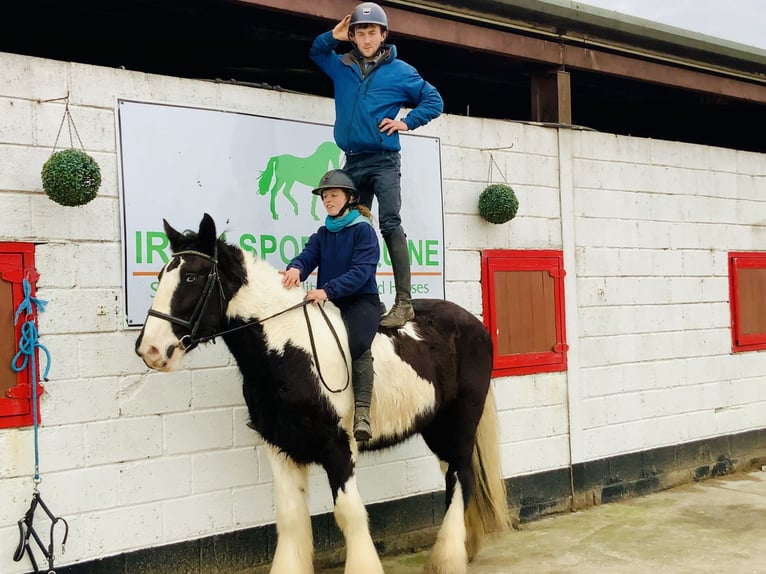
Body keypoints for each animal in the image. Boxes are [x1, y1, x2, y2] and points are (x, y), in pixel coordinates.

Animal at [135, 216, 512, 574]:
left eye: (191, 277)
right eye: (162, 274)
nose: (149, 349)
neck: (288, 347)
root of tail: (473, 323)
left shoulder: (338, 447)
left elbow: (349, 513)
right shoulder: (280, 446)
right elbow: (290, 517)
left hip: (460, 420)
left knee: (461, 477)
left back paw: (447, 561)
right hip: (436, 427)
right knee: (455, 476)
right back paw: (464, 548)